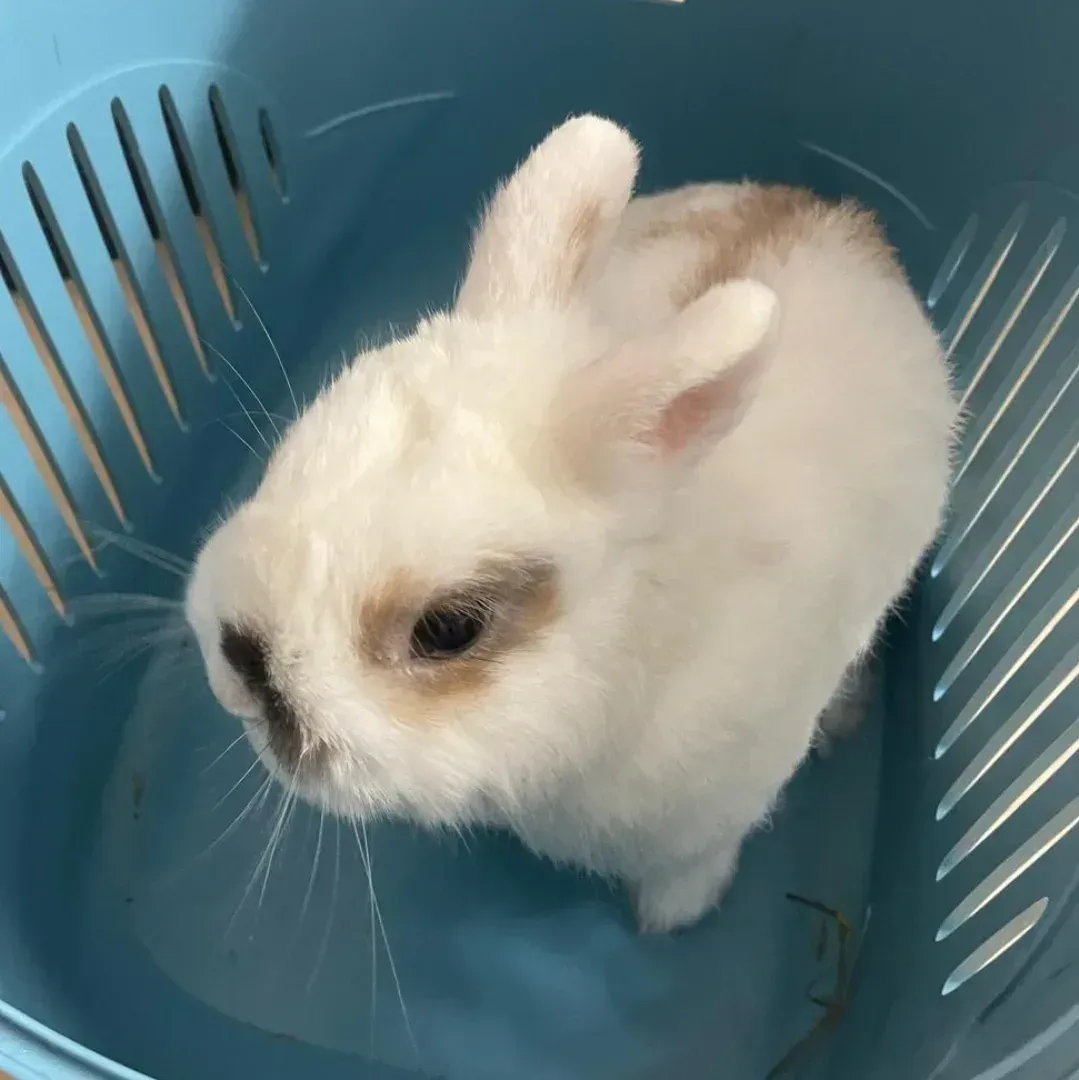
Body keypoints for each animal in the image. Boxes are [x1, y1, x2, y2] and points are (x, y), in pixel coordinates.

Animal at [185, 115, 957, 933]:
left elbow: (695, 863)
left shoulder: (715, 813)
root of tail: (846, 217)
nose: (239, 657)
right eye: (292, 452)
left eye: (449, 629)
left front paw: (670, 917)